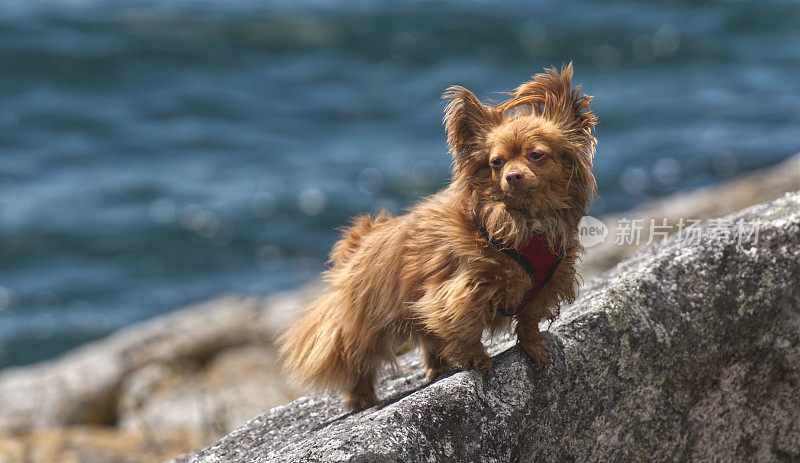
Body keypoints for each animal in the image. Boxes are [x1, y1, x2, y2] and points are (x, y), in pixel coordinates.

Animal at [278, 64, 596, 410]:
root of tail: (361, 238)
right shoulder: (462, 287)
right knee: (357, 357)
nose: (512, 176)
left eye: (536, 155)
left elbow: (528, 321)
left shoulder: (547, 284)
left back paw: (439, 367)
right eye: (496, 163)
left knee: (429, 336)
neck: (525, 221)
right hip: (365, 320)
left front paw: (534, 346)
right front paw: (477, 360)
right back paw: (362, 398)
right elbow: (465, 326)